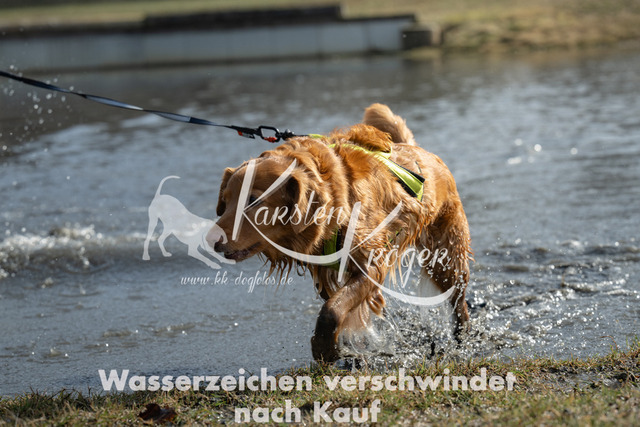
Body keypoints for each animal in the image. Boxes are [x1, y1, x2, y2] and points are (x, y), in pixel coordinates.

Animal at [208, 104, 472, 362]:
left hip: (447, 256)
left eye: (253, 200)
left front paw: (325, 348)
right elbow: (337, 303)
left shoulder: (371, 264)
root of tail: (419, 150)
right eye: (225, 201)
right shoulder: (323, 271)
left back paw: (463, 339)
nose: (211, 240)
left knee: (459, 300)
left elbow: (333, 309)